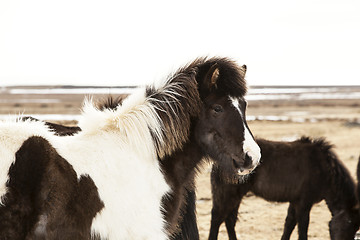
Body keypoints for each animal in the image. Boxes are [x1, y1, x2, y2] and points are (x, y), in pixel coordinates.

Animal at [210, 137, 358, 240]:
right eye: (349, 224)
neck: (324, 169)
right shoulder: (304, 204)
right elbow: (302, 228)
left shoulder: (295, 202)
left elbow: (289, 225)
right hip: (228, 195)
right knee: (217, 218)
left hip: (236, 196)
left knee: (229, 220)